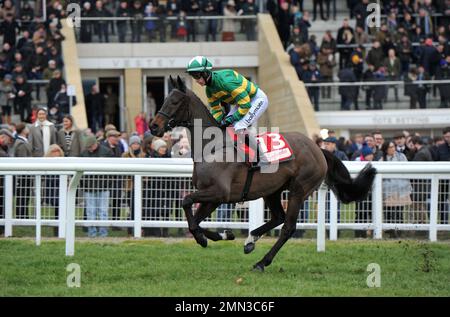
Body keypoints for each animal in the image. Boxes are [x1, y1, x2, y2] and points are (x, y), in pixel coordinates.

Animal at [149, 76, 376, 272]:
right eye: (164, 99)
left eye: (174, 102)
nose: (153, 126)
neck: (212, 147)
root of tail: (318, 149)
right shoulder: (212, 197)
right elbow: (193, 221)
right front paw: (221, 235)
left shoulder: (219, 192)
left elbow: (186, 203)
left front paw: (206, 237)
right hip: (272, 190)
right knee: (278, 217)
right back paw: (251, 240)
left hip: (299, 189)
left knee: (288, 227)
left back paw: (262, 262)